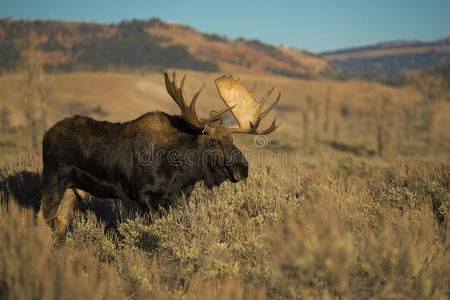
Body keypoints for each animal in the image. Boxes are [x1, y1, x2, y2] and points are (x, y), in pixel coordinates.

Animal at [38, 71, 280, 236]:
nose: (243, 168)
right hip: (53, 180)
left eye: (232, 140)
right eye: (213, 141)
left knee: (60, 222)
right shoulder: (143, 195)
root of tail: (46, 135)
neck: (182, 170)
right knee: (42, 217)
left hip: (75, 190)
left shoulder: (177, 197)